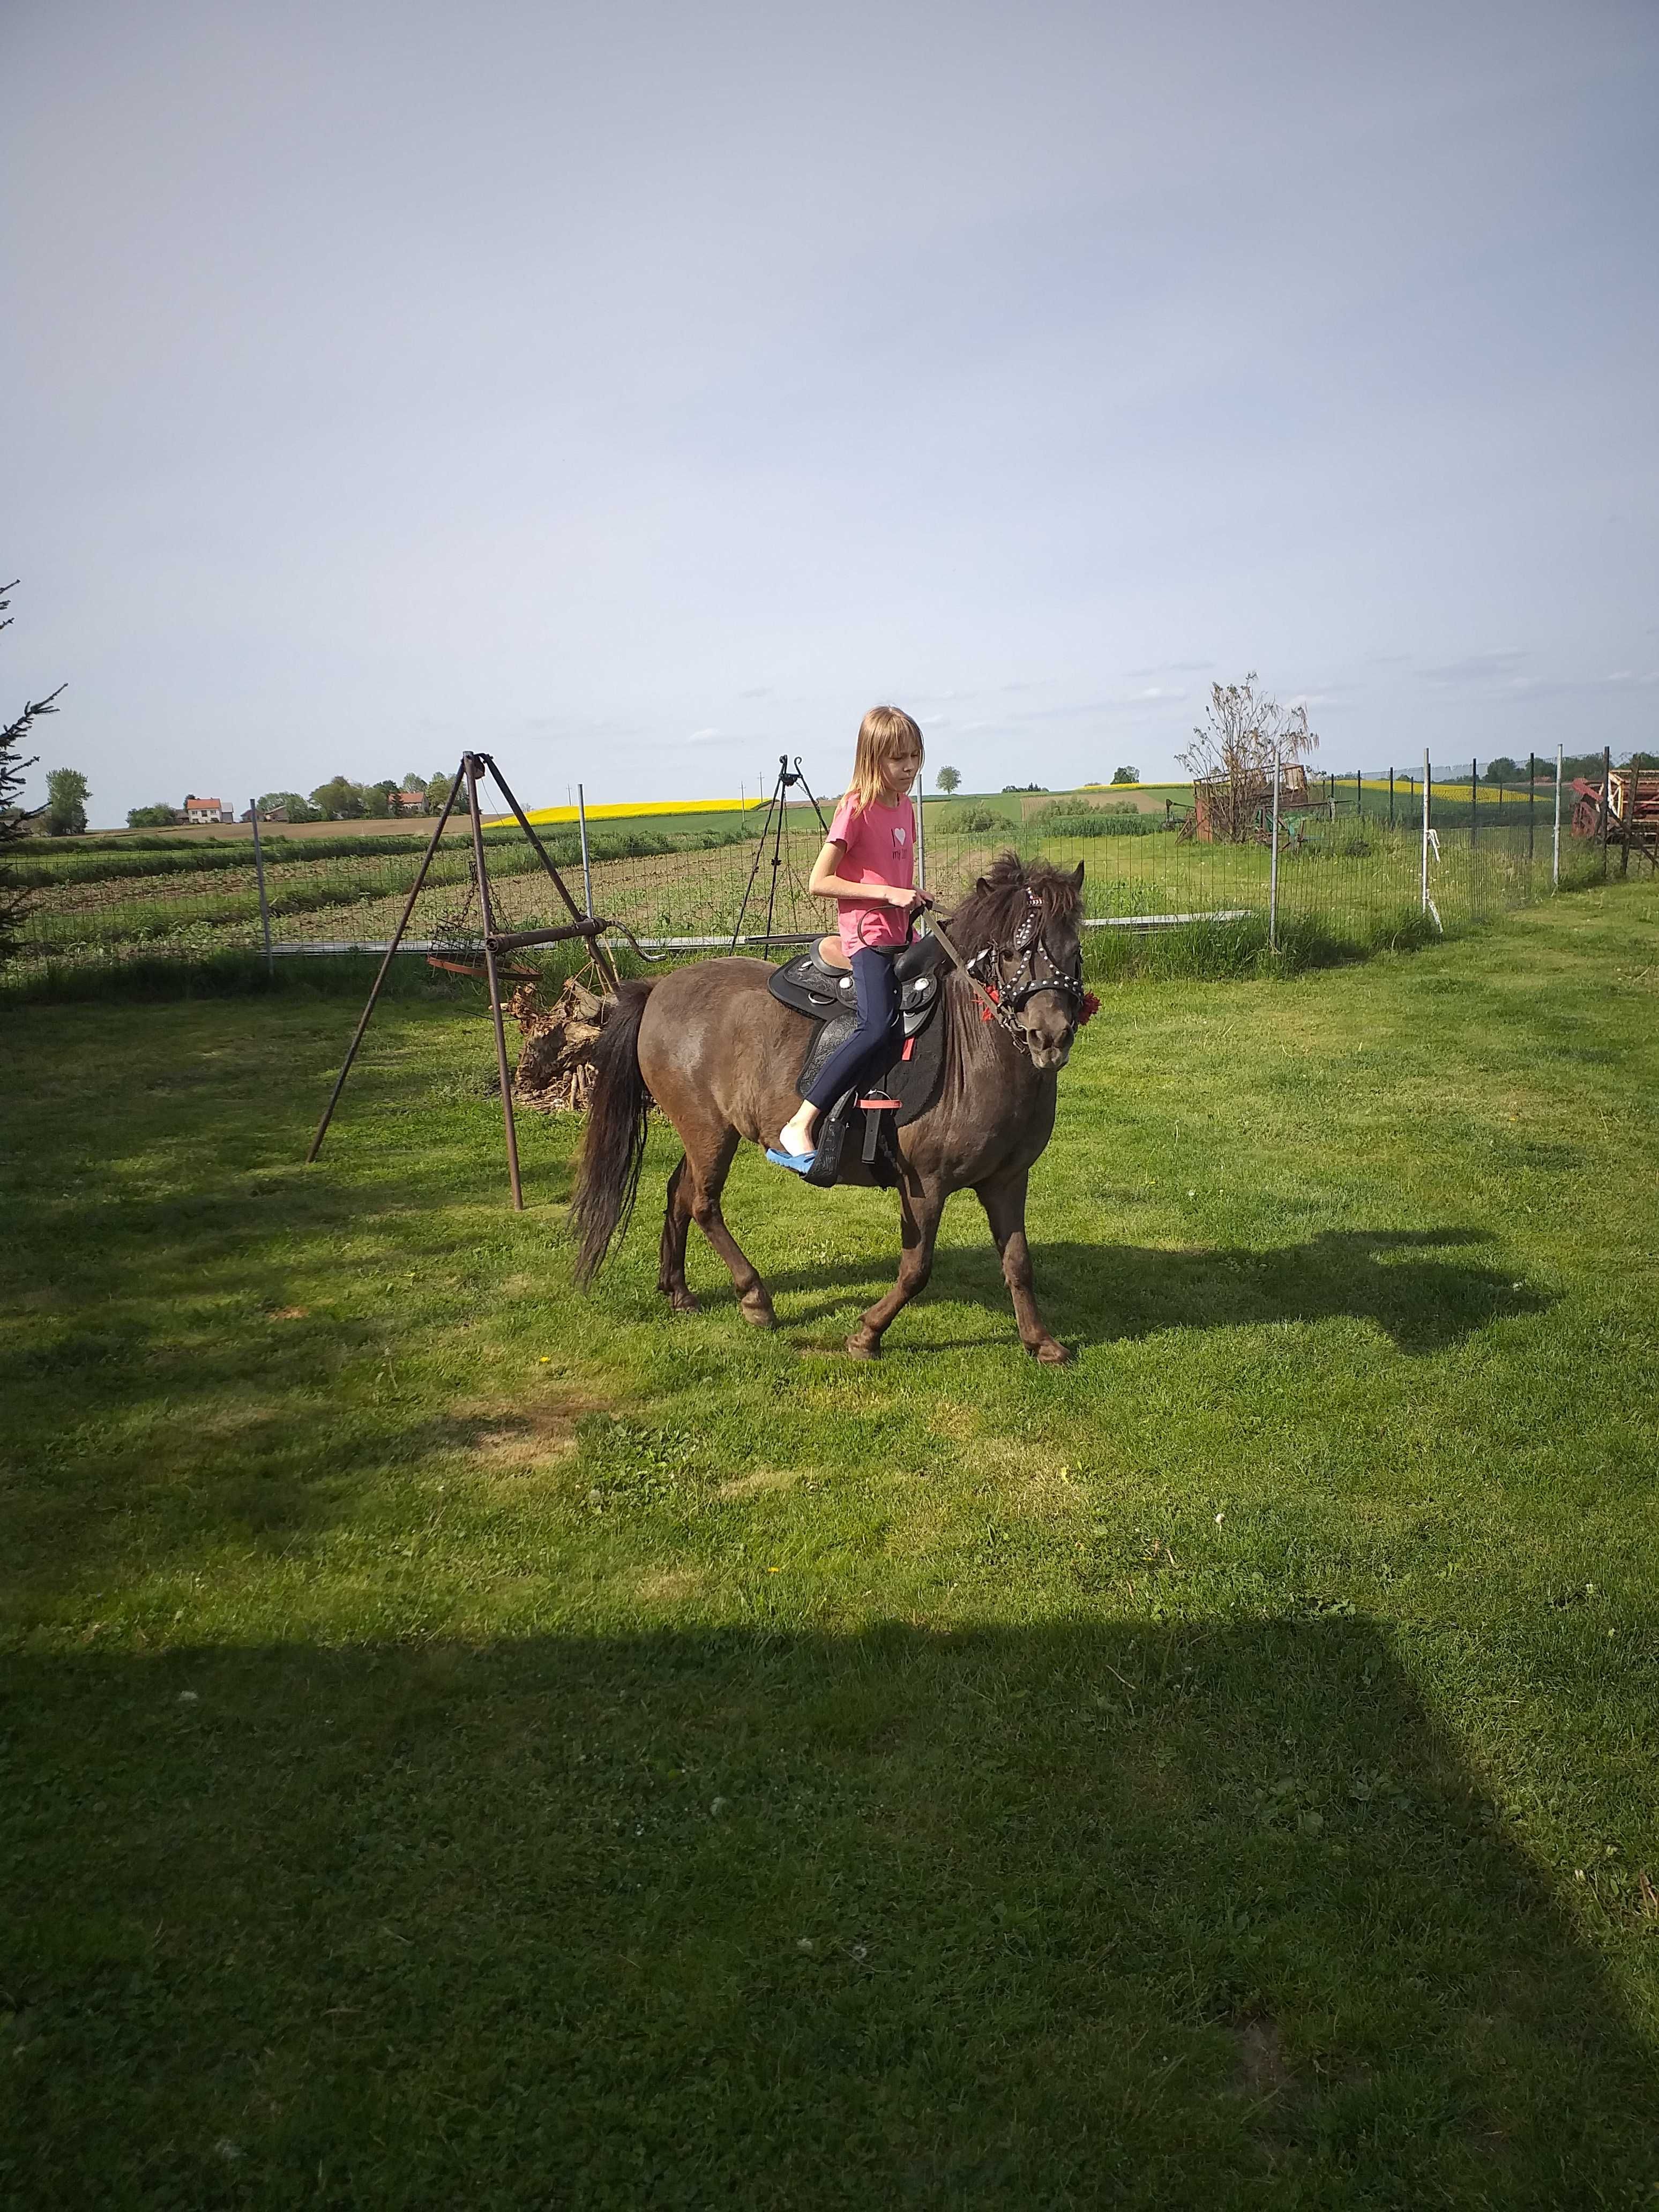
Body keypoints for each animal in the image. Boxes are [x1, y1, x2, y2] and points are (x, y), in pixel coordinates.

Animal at [571, 849, 1093, 1354]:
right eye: (1008, 953)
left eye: (1074, 950)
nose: (1049, 1038)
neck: (973, 1051)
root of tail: (659, 987)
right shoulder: (924, 1185)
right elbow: (916, 1270)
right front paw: (867, 1335)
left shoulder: (1008, 1181)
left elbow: (1019, 1263)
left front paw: (1042, 1343)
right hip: (709, 1132)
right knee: (703, 1204)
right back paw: (755, 1298)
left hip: (702, 1130)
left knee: (679, 1193)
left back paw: (678, 1290)